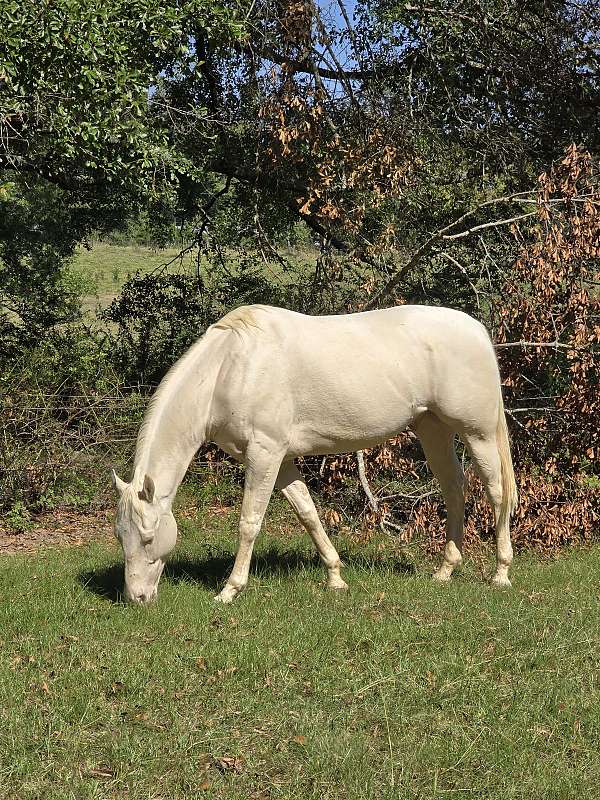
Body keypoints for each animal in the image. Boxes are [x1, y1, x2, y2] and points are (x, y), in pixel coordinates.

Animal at [111, 304, 516, 604]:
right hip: (433, 429)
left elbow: (249, 523)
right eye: (120, 536)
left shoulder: (264, 456)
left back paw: (501, 573)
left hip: (477, 433)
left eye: (148, 537)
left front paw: (229, 591)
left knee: (497, 493)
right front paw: (335, 577)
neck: (230, 368)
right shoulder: (280, 461)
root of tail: (476, 329)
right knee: (454, 488)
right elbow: (308, 514)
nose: (137, 598)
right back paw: (445, 570)